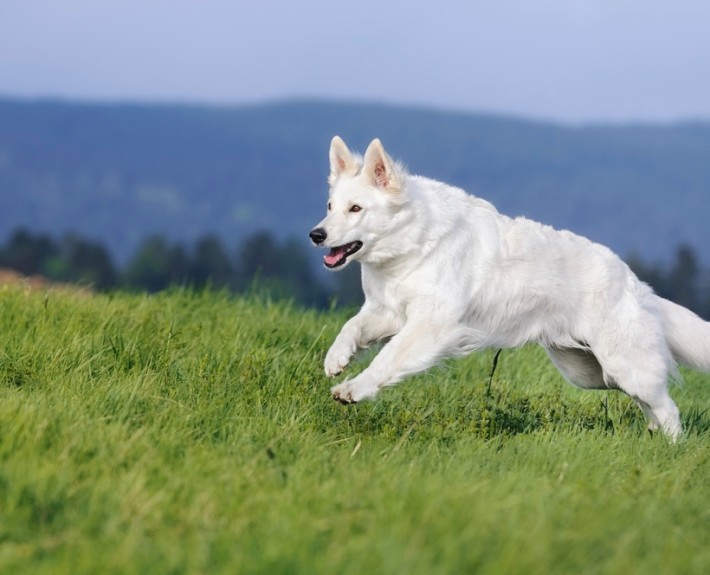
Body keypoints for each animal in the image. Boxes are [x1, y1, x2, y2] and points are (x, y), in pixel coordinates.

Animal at [312, 136, 710, 440]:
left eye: (356, 209)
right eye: (330, 206)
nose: (316, 235)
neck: (413, 241)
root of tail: (639, 285)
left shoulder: (430, 326)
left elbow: (386, 358)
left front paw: (353, 389)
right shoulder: (389, 312)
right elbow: (352, 327)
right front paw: (336, 358)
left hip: (623, 366)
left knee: (667, 407)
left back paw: (672, 448)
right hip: (590, 373)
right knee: (650, 404)